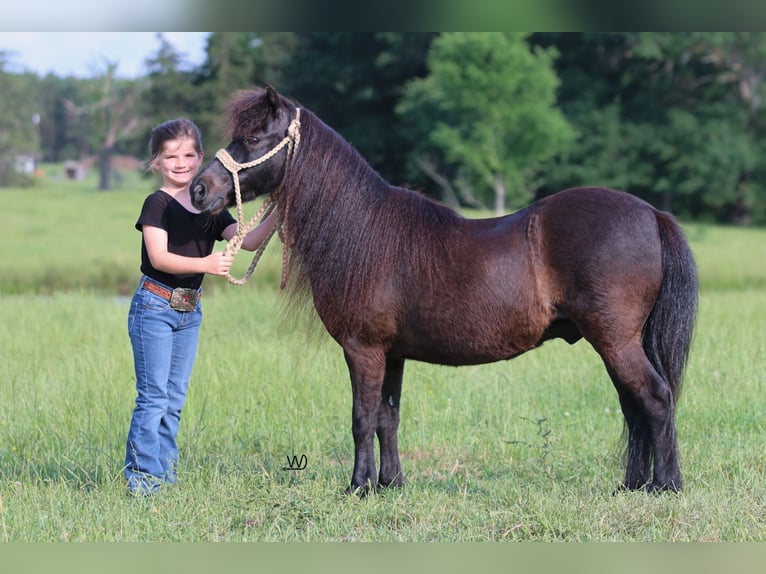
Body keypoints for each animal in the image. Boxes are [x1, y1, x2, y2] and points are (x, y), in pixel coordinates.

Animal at [189, 84, 700, 496]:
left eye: (255, 138)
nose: (198, 189)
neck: (363, 230)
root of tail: (652, 213)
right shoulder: (391, 353)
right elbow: (387, 417)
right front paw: (391, 483)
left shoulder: (362, 349)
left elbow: (361, 418)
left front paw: (358, 487)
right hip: (615, 343)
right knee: (634, 407)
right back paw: (632, 485)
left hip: (614, 339)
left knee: (655, 399)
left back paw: (665, 486)